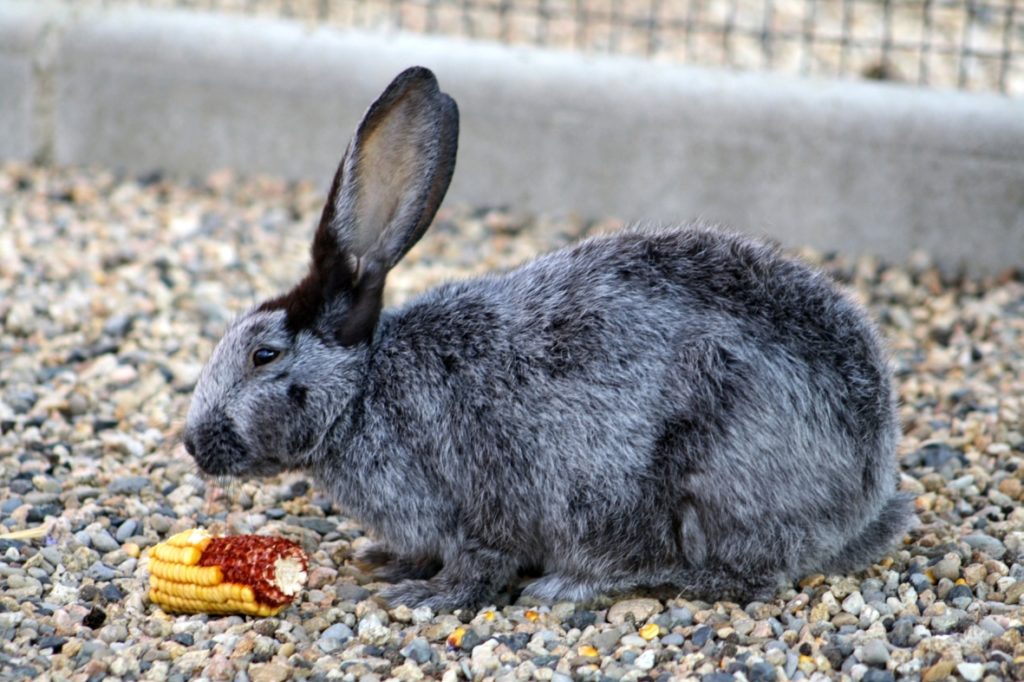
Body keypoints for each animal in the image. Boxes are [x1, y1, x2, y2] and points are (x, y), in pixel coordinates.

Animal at [184, 65, 913, 606]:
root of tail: (864, 496)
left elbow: (478, 564)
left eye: (264, 354)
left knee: (722, 570)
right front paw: (387, 561)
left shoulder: (477, 503)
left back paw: (575, 586)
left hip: (692, 489)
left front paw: (427, 595)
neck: (361, 391)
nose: (194, 444)